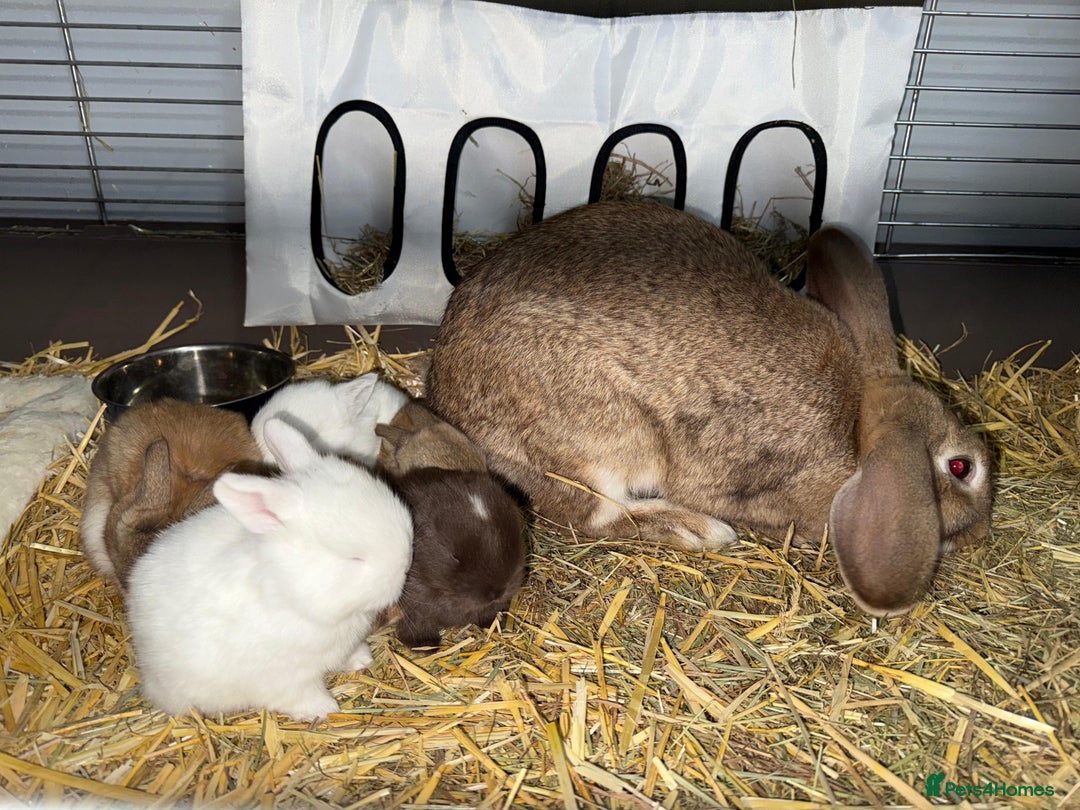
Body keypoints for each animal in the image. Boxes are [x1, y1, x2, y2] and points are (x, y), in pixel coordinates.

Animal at [125, 417, 413, 722]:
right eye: (354, 558)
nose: (406, 563)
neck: (288, 591)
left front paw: (362, 660)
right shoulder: (285, 678)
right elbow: (300, 696)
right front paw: (323, 711)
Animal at [389, 467, 526, 649]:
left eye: (515, 539)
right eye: (454, 556)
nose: (497, 592)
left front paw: (496, 624)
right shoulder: (413, 607)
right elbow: (418, 625)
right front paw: (425, 646)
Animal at [426, 201, 992, 617]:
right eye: (961, 468)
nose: (982, 532)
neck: (857, 427)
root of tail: (444, 397)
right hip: (604, 441)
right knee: (591, 514)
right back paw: (697, 529)